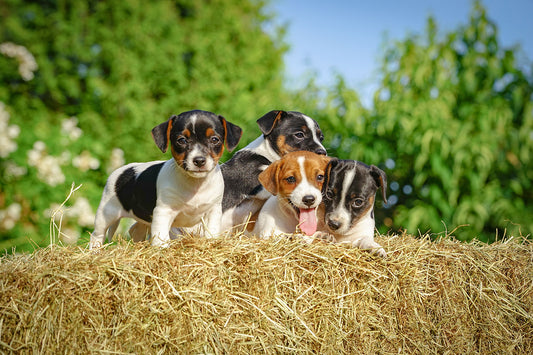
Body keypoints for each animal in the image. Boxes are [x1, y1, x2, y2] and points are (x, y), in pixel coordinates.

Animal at [89, 110, 241, 249]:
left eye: (214, 139)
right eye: (181, 140)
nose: (199, 161)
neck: (195, 184)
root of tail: (119, 172)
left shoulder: (213, 211)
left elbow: (211, 232)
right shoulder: (163, 212)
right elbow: (161, 237)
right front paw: (161, 249)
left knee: (135, 230)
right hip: (105, 214)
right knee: (97, 235)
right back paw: (95, 252)